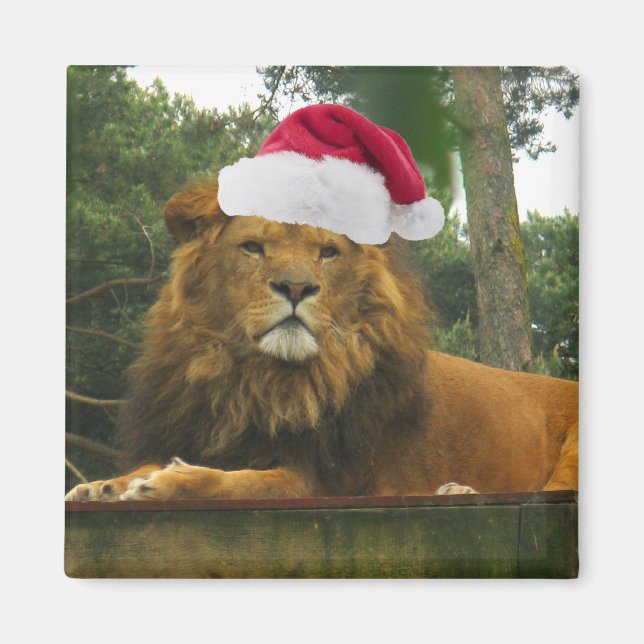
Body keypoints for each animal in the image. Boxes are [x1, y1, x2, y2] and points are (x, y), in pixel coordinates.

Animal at [65, 178, 578, 502]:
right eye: (253, 247)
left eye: (328, 253)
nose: (296, 287)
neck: (250, 379)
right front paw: (103, 486)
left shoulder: (324, 481)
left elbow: (237, 483)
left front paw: (167, 483)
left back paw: (459, 489)